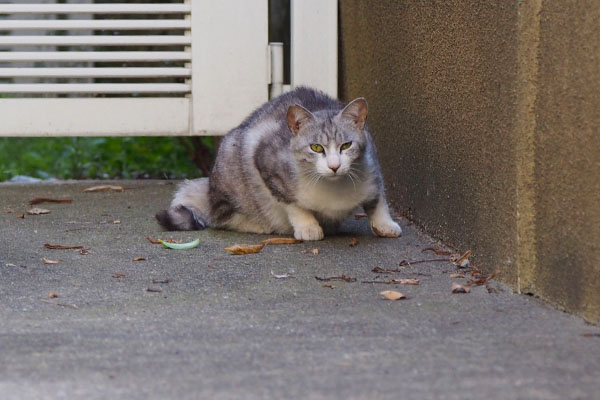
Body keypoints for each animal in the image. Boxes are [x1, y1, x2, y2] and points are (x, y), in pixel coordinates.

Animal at [157, 86, 400, 239]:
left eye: (346, 145)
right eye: (316, 147)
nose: (334, 166)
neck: (334, 191)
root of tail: (208, 189)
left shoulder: (374, 168)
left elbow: (379, 202)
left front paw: (385, 225)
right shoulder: (265, 161)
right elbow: (293, 204)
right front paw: (308, 227)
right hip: (230, 166)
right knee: (222, 217)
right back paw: (260, 225)